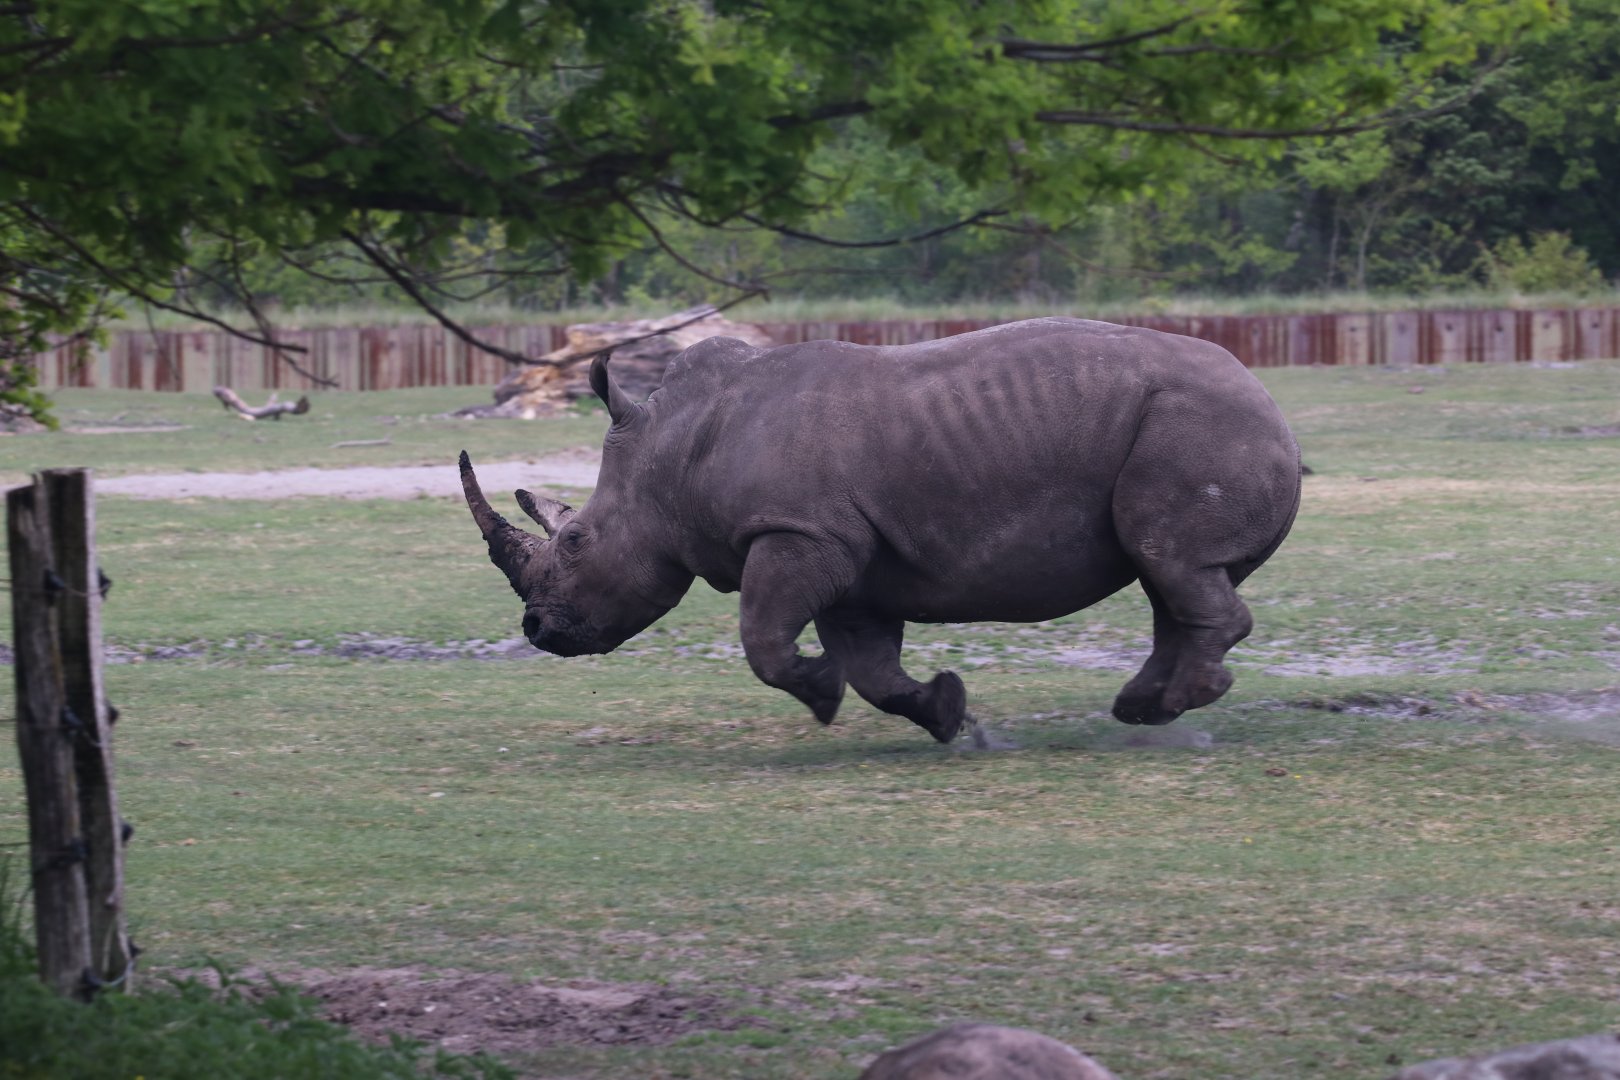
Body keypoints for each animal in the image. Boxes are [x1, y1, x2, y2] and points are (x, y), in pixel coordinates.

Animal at [460, 317, 1300, 743]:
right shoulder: (847, 554)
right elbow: (871, 666)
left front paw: (821, 695)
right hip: (1194, 429)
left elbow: (763, 639)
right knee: (1167, 577)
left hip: (1199, 428)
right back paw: (1142, 709)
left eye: (576, 542)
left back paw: (1178, 702)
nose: (538, 631)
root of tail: (1273, 406)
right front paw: (948, 714)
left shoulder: (799, 533)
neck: (672, 451)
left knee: (1173, 562)